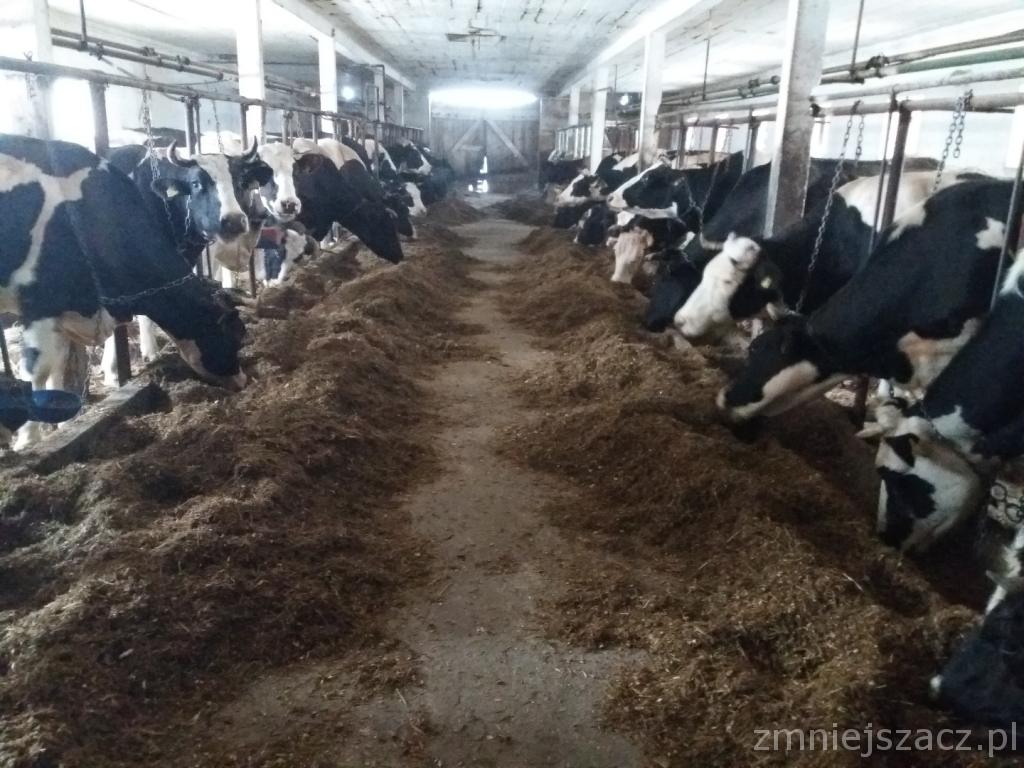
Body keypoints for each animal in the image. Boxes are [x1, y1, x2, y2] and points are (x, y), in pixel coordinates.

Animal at [0, 135, 247, 445]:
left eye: (238, 182)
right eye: (234, 338)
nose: (242, 382)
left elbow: (59, 362)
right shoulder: (41, 303)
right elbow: (37, 370)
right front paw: (28, 439)